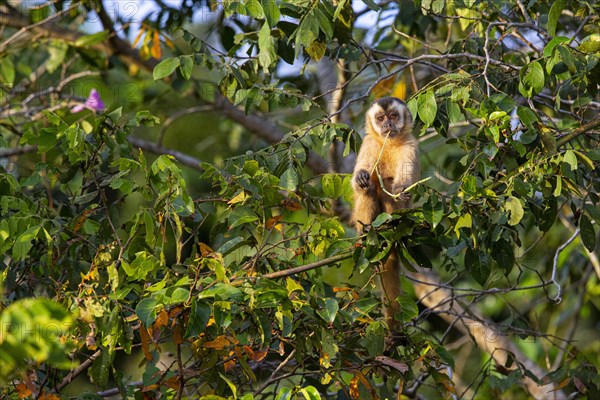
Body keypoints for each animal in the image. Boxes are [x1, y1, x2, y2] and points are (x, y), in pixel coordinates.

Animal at [352, 96, 418, 332]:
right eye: (380, 118)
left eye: (393, 116)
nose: (387, 124)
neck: (388, 143)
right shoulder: (368, 143)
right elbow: (357, 183)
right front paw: (361, 178)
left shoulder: (411, 145)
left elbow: (403, 188)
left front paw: (399, 189)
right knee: (369, 188)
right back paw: (367, 231)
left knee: (389, 188)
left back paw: (392, 228)